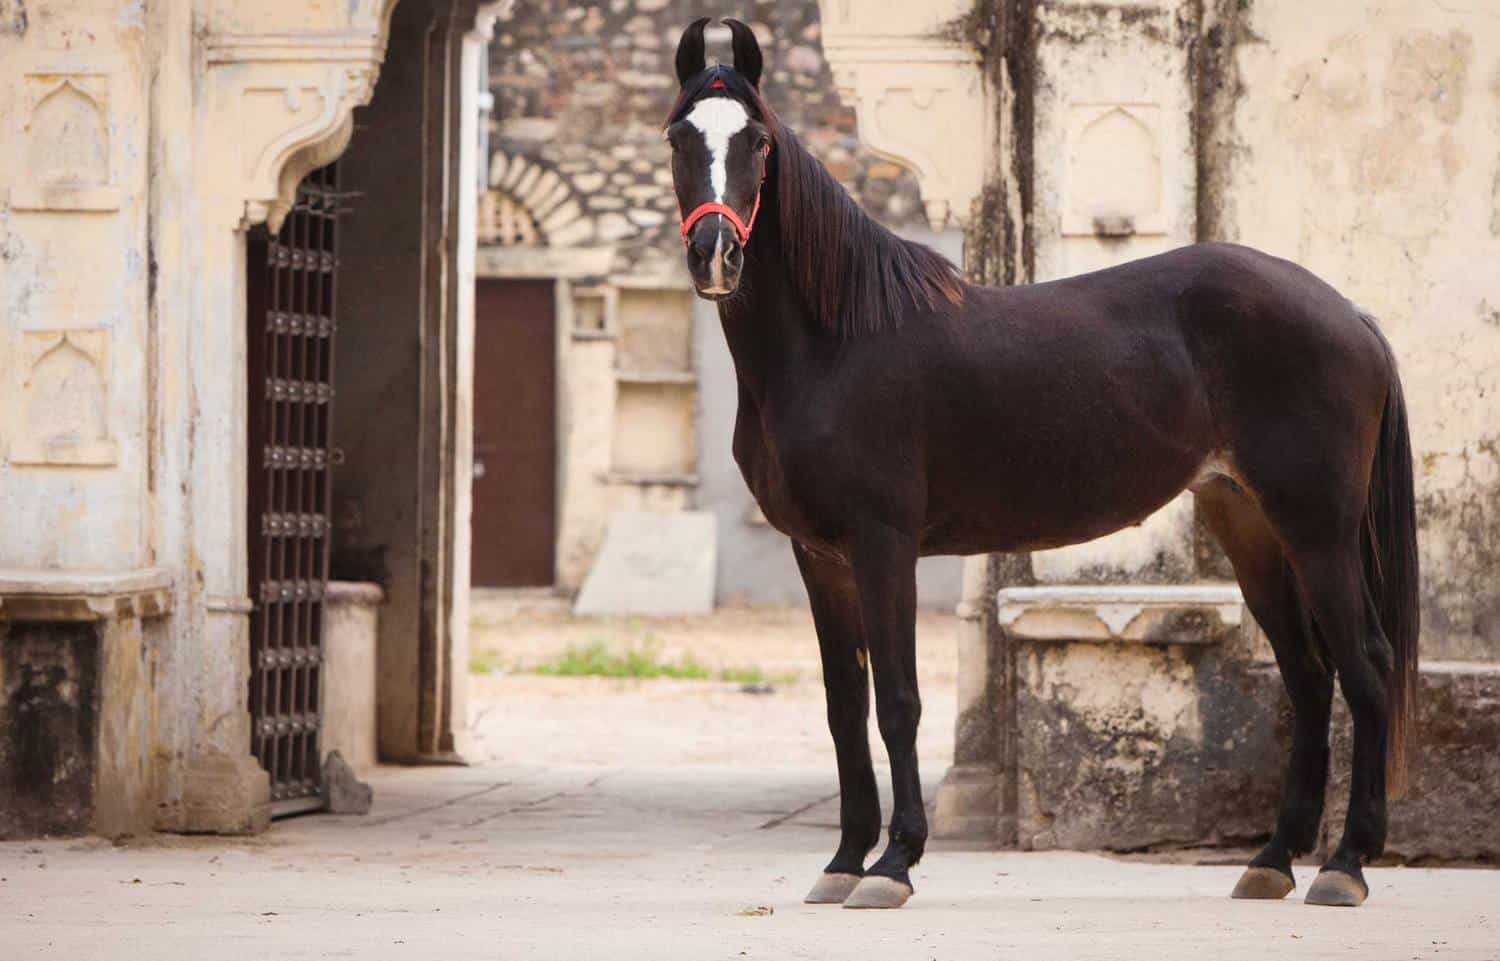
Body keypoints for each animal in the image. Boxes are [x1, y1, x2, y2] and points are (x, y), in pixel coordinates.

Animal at [665, 18, 1419, 910]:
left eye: (757, 142)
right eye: (679, 137)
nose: (715, 254)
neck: (833, 343)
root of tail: (1351, 315)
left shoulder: (883, 544)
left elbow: (898, 703)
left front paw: (894, 863)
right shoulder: (820, 557)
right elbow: (844, 708)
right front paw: (844, 860)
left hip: (1319, 531)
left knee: (1365, 669)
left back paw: (1346, 864)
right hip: (1250, 525)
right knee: (1307, 675)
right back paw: (1271, 861)